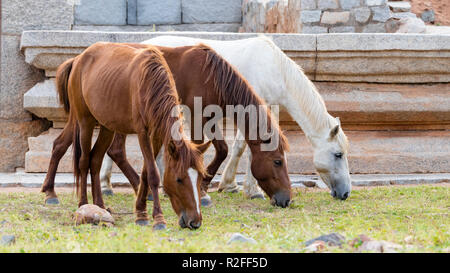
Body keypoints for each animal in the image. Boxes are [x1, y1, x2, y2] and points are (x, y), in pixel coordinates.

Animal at [42, 42, 294, 208]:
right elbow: (204, 148)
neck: (211, 74)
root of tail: (77, 59)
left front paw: (204, 185)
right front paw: (203, 191)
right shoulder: (197, 116)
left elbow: (221, 149)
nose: (286, 199)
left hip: (90, 119)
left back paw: (50, 191)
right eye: (278, 161)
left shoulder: (209, 117)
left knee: (60, 144)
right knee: (112, 151)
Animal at [45, 42, 207, 228]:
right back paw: (83, 203)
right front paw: (158, 218)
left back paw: (99, 205)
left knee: (95, 160)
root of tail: (78, 59)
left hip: (107, 127)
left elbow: (145, 173)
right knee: (84, 161)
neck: (150, 83)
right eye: (179, 179)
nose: (195, 221)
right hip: (85, 121)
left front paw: (141, 212)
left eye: (200, 178)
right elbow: (153, 174)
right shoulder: (142, 132)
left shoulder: (156, 135)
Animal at [100, 34, 354, 200]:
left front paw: (232, 185)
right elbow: (242, 146)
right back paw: (106, 185)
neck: (273, 68)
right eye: (338, 154)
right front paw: (244, 188)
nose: (345, 193)